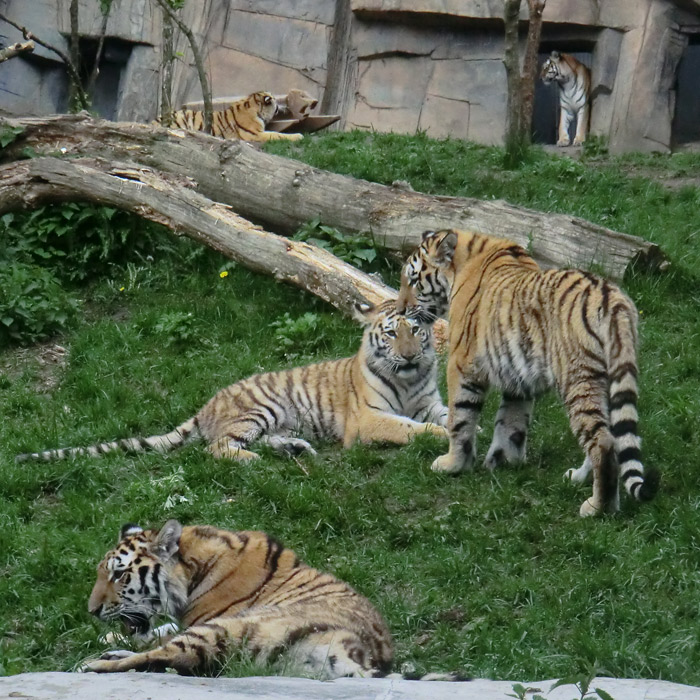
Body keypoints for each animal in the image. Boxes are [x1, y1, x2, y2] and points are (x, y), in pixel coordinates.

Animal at [19, 300, 452, 464]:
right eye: (392, 333)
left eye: (416, 330)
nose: (410, 355)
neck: (409, 380)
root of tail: (206, 405)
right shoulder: (368, 420)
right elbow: (408, 428)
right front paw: (438, 437)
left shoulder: (431, 403)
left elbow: (445, 417)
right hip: (263, 407)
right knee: (218, 447)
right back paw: (251, 459)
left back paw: (294, 448)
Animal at [82, 520, 462, 680]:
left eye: (119, 574)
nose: (92, 611)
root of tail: (355, 652)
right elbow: (159, 631)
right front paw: (111, 638)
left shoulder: (203, 619)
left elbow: (161, 638)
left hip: (227, 628)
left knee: (170, 658)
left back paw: (95, 665)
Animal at [396, 231, 660, 520]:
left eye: (413, 280)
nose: (400, 310)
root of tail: (611, 298)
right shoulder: (517, 377)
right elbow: (511, 422)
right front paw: (504, 461)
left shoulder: (462, 364)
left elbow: (460, 419)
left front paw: (452, 465)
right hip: (608, 379)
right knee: (611, 435)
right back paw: (577, 478)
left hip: (578, 378)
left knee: (603, 442)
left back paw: (598, 507)